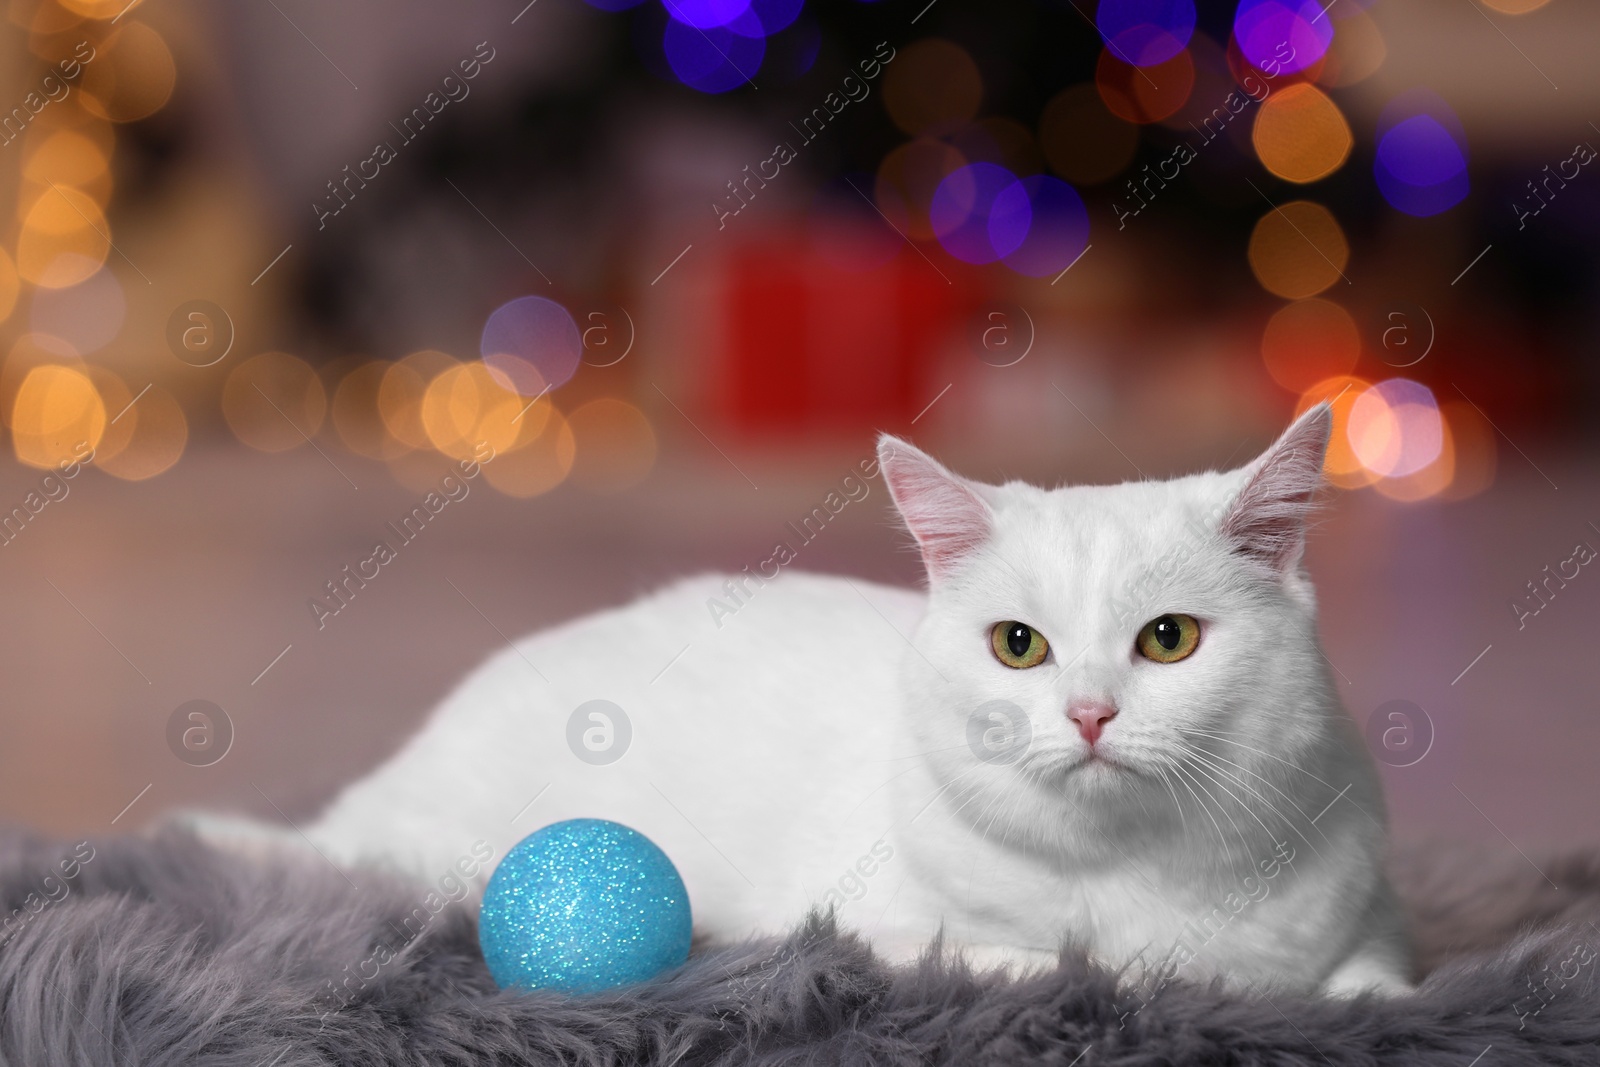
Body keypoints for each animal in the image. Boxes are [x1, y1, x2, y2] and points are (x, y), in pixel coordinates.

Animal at [200, 404, 1414, 998]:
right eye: (1017, 646)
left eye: (1168, 640)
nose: (1088, 713)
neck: (1135, 875)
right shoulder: (894, 933)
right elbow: (1069, 969)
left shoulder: (1368, 918)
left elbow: (1373, 988)